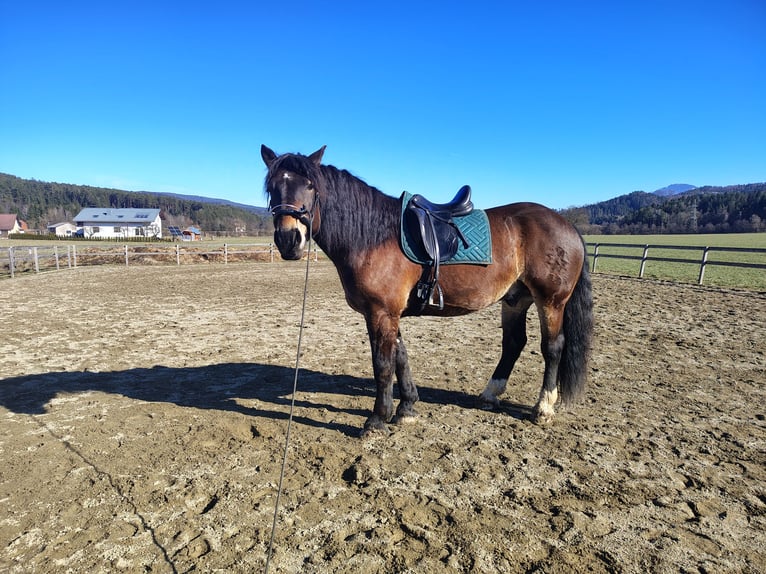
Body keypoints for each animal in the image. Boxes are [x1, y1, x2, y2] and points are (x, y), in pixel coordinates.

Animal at [261, 145, 593, 436]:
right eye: (272, 187)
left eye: (310, 186)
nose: (289, 240)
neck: (373, 237)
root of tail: (566, 225)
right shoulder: (390, 313)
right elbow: (401, 358)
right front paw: (406, 409)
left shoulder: (380, 313)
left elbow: (383, 364)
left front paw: (377, 420)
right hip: (515, 299)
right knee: (513, 343)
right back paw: (490, 395)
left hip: (551, 301)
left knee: (553, 347)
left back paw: (543, 408)